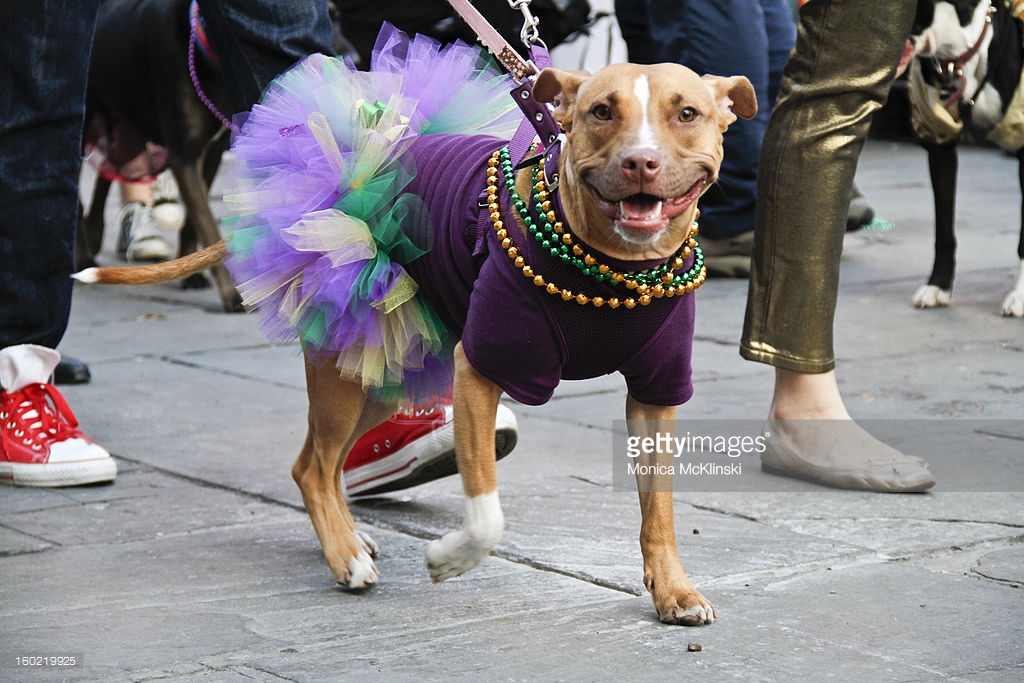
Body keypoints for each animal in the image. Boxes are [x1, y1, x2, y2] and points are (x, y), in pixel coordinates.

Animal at [77, 61, 753, 626]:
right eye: (601, 111)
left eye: (686, 113)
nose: (641, 162)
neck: (612, 270)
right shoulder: (479, 371)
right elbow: (486, 510)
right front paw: (450, 559)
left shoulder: (655, 395)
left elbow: (659, 511)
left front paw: (673, 591)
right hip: (349, 371)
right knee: (314, 467)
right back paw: (345, 557)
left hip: (381, 375)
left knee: (319, 461)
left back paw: (349, 538)